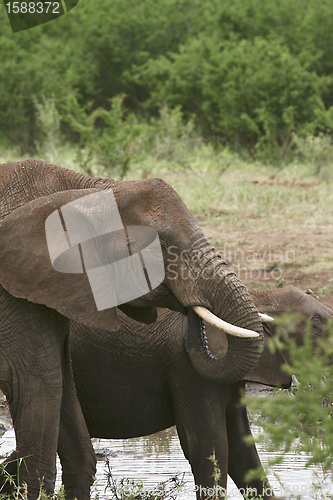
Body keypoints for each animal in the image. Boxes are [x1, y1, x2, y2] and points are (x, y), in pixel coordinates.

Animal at [0, 162, 262, 498]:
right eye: (162, 247)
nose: (193, 313)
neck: (86, 191)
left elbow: (61, 386)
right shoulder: (14, 289)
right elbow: (38, 383)